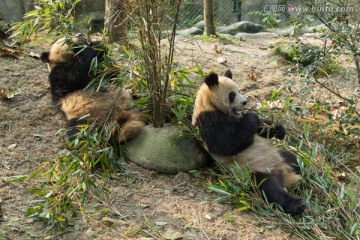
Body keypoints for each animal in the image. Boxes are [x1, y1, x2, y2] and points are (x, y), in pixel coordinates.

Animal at [193, 69, 306, 216]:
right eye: (232, 94)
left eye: (240, 90)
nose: (245, 102)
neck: (209, 103)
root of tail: (287, 176)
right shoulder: (207, 119)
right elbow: (225, 143)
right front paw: (252, 117)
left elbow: (261, 130)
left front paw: (278, 130)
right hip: (254, 169)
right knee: (269, 187)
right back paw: (297, 204)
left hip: (281, 158)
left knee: (292, 159)